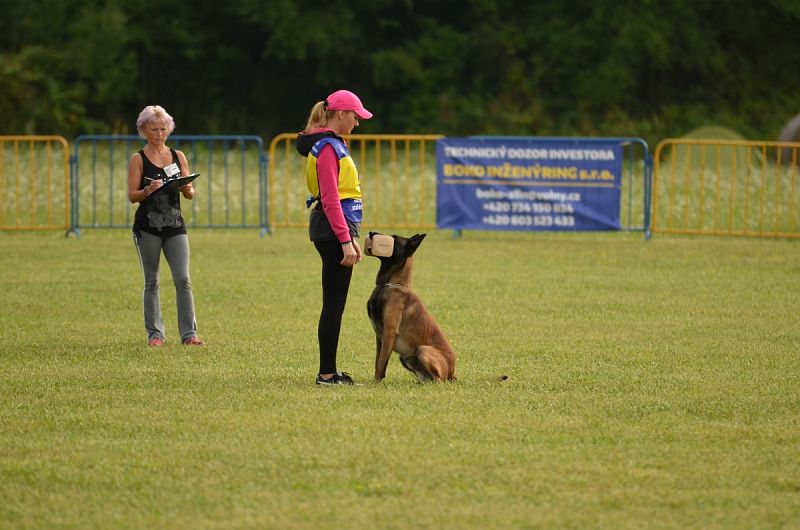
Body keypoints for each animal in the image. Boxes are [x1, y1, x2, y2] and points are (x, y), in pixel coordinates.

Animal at [364, 231, 456, 380]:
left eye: (394, 238)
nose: (371, 233)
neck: (390, 284)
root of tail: (452, 372)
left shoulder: (389, 333)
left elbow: (381, 363)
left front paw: (375, 382)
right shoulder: (379, 337)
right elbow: (379, 362)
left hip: (423, 350)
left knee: (438, 379)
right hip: (405, 358)